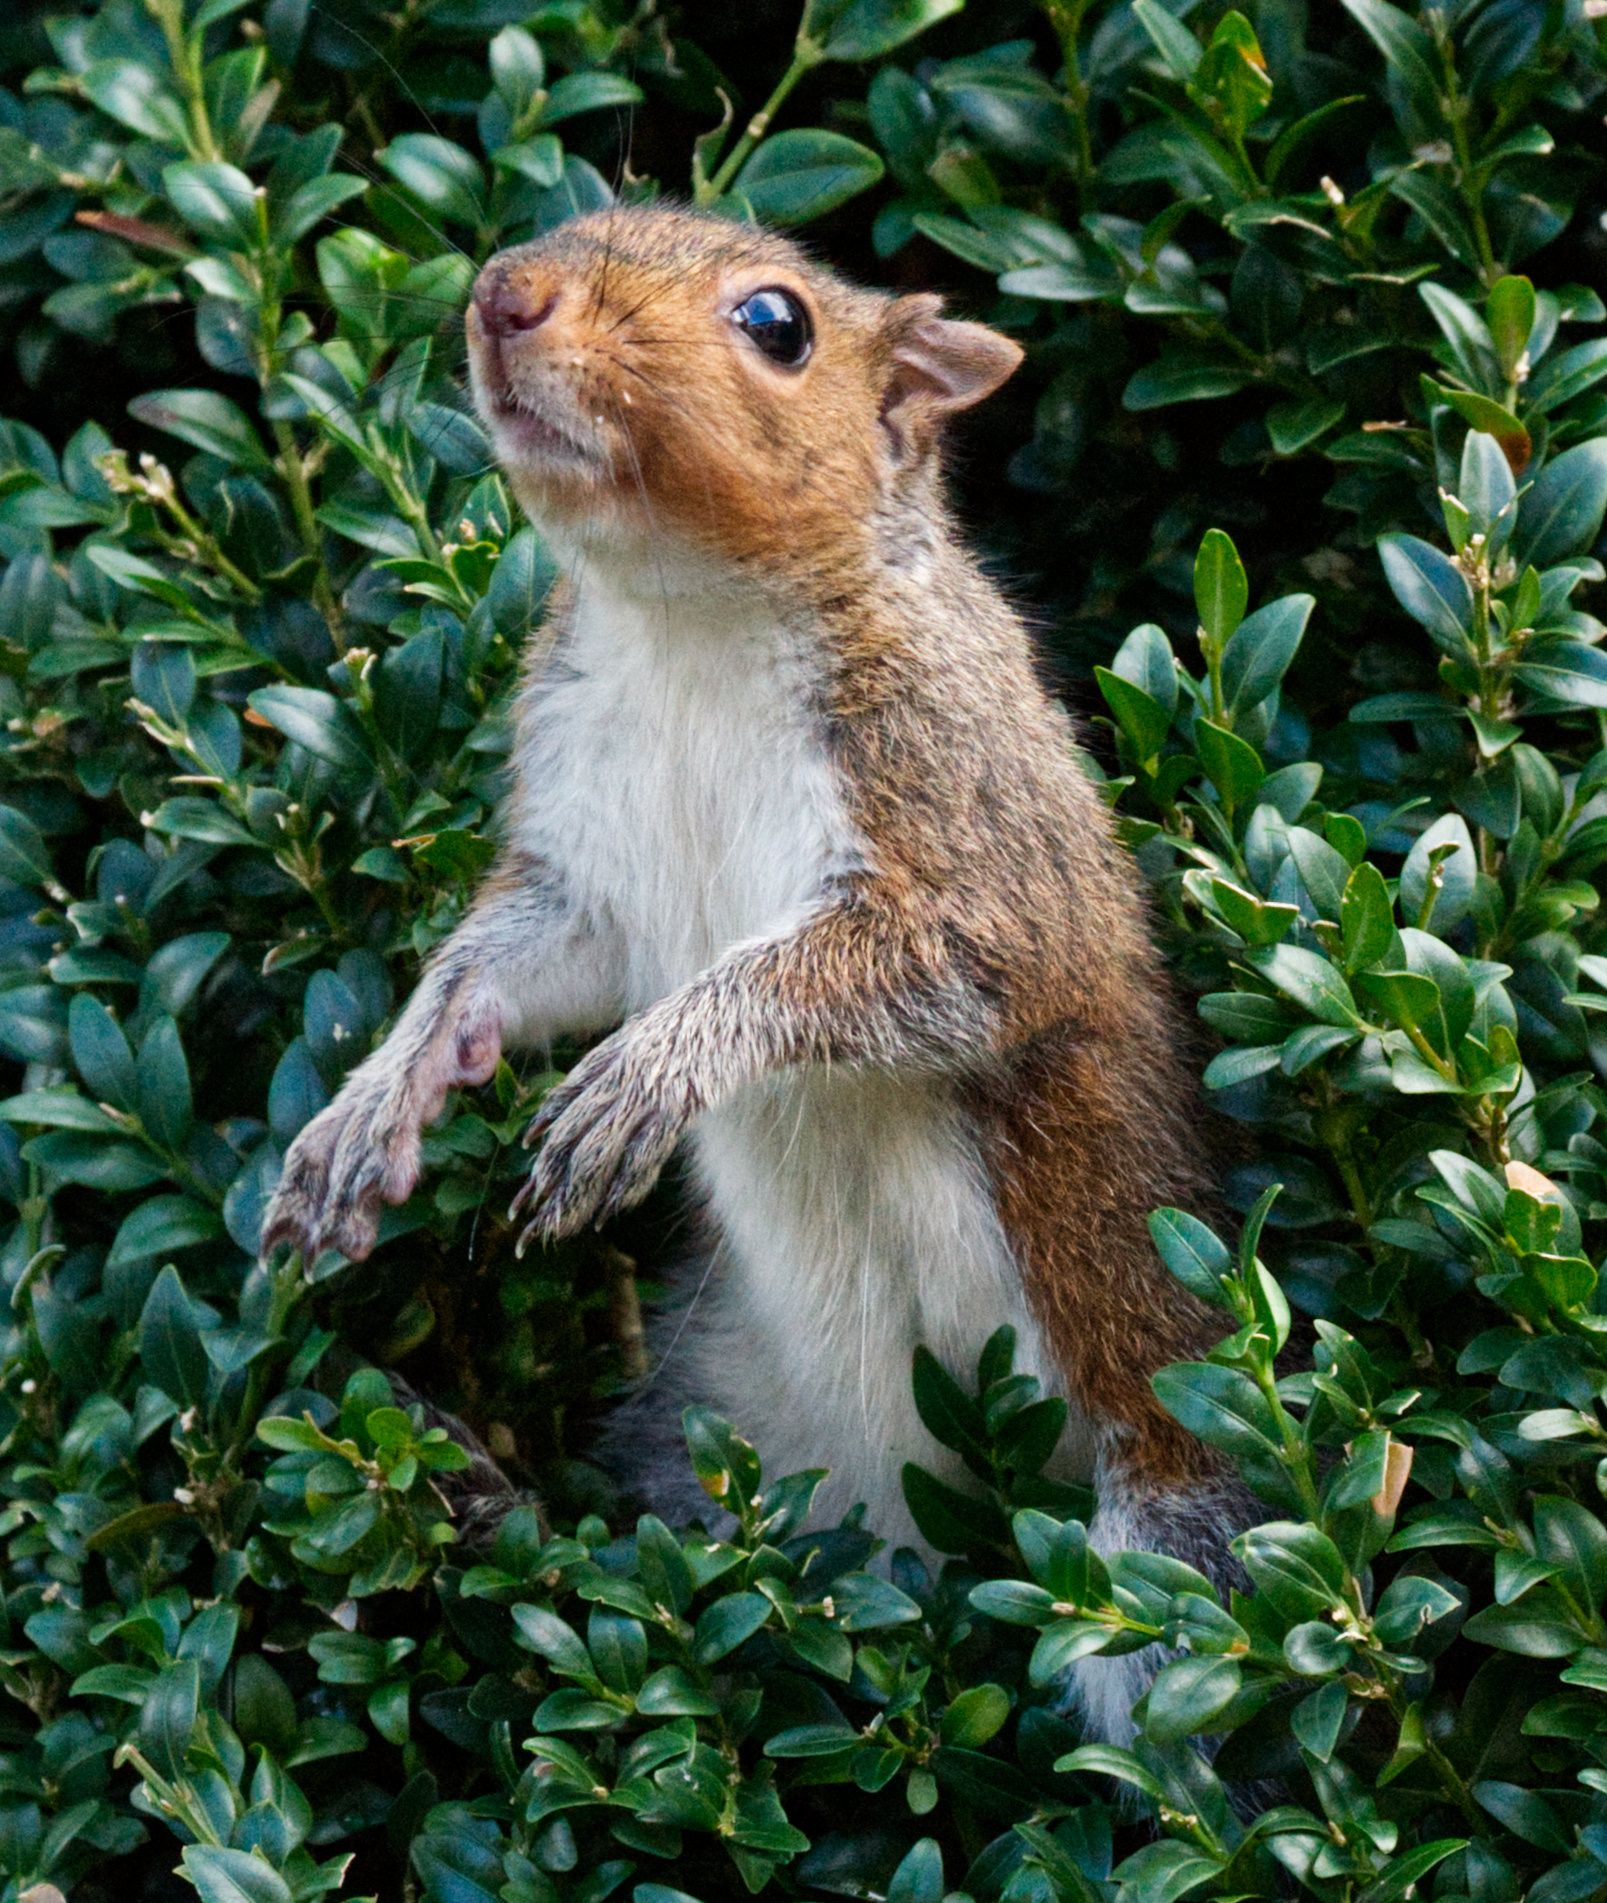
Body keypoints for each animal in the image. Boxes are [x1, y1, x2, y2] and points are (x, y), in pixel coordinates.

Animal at [260, 204, 1246, 1744]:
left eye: (777, 324)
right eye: (568, 219)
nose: (503, 295)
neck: (688, 621)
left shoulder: (964, 816)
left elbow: (907, 966)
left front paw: (645, 1074)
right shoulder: (584, 871)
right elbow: (502, 971)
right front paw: (376, 1104)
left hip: (1157, 1531)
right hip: (705, 1438)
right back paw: (474, 1489)